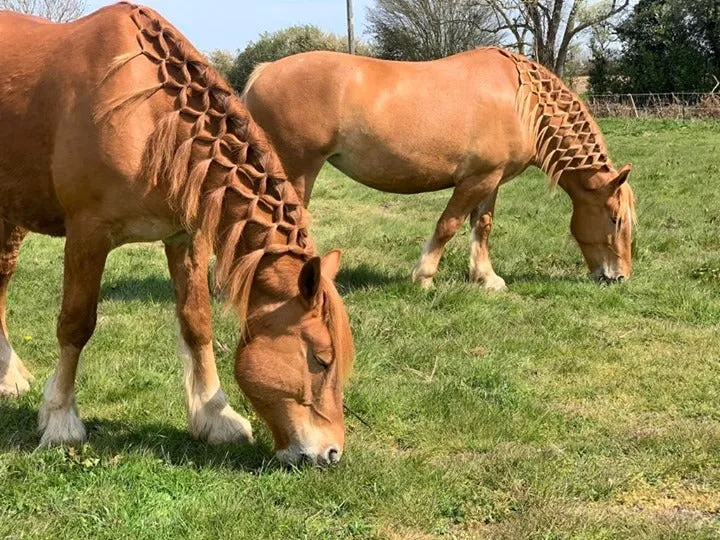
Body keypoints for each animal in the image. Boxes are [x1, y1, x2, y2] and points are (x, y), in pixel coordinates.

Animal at [0, 3, 354, 467]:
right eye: (321, 359)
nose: (331, 452)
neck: (150, 116)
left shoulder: (185, 238)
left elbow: (197, 323)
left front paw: (216, 417)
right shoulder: (87, 235)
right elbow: (75, 325)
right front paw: (60, 420)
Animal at [242, 49, 636, 290]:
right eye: (615, 219)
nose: (619, 277)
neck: (524, 104)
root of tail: (263, 72)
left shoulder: (491, 180)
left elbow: (482, 226)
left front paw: (485, 278)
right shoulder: (475, 180)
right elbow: (448, 225)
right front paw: (424, 276)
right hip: (297, 170)